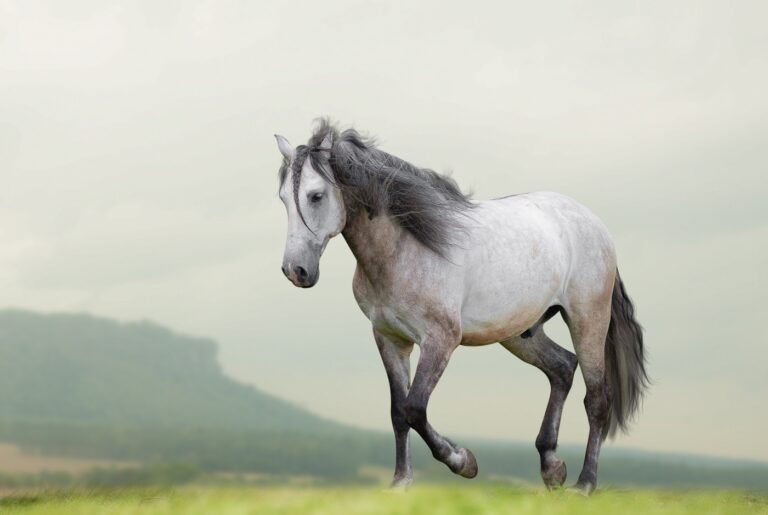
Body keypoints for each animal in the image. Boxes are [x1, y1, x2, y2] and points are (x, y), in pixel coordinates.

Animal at [272, 121, 644, 496]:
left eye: (316, 195)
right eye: (283, 198)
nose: (295, 271)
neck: (406, 248)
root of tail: (595, 224)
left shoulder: (441, 340)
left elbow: (415, 408)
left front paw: (464, 462)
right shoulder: (390, 339)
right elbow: (398, 412)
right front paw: (400, 483)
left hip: (587, 319)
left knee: (597, 398)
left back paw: (584, 485)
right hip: (520, 333)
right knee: (563, 368)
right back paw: (552, 469)